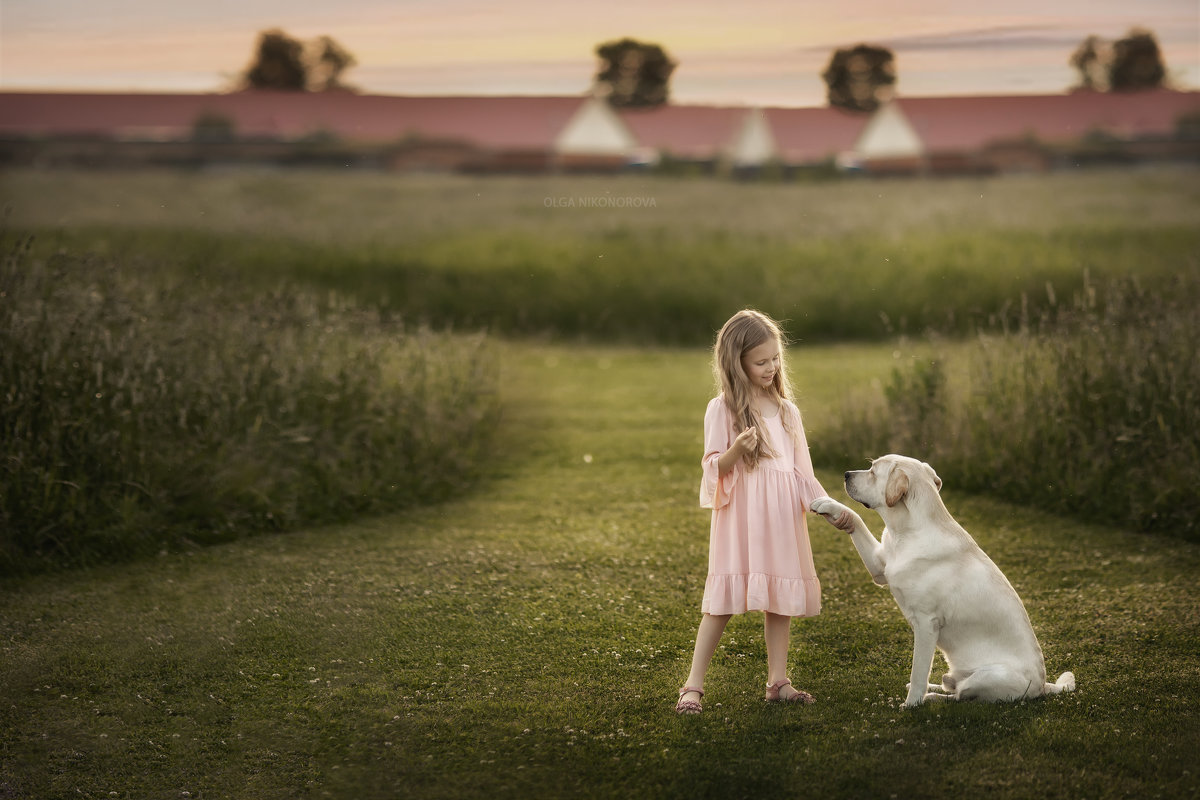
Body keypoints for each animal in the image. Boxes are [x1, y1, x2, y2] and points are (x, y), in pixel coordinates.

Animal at [811, 455, 1075, 705]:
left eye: (874, 472)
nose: (846, 474)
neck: (905, 533)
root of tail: (1044, 686)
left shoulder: (926, 623)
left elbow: (919, 670)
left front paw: (911, 705)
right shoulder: (879, 568)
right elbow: (856, 518)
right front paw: (829, 505)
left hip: (988, 677)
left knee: (959, 696)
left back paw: (928, 697)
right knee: (953, 687)